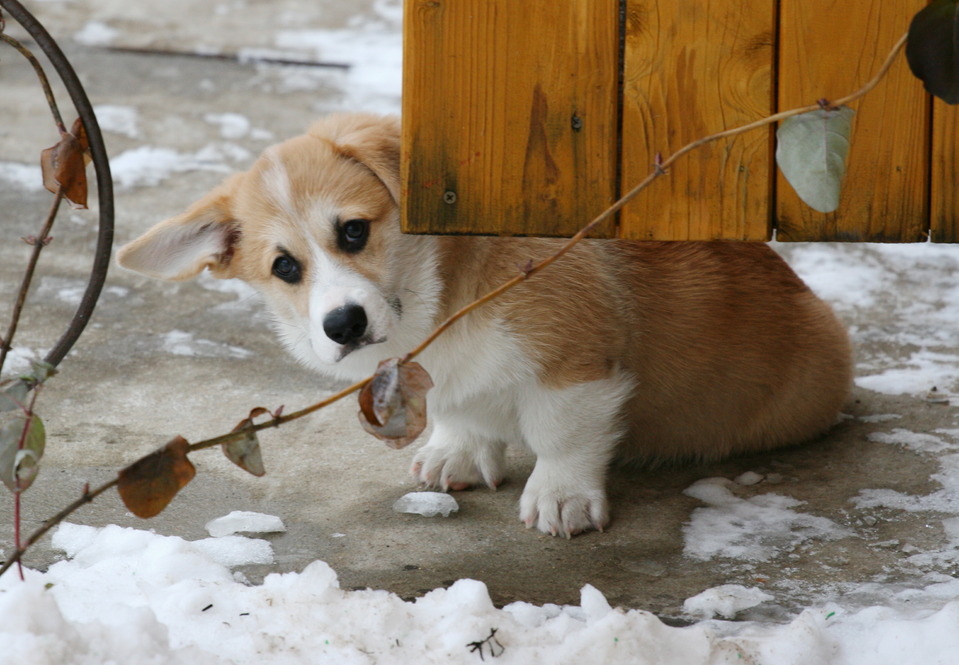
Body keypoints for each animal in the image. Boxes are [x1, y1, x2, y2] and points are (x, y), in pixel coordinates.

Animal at [116, 111, 852, 536]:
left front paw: (560, 499)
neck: (440, 299)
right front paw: (458, 452)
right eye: (285, 267)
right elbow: (463, 412)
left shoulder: (574, 364)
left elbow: (562, 436)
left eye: (353, 231)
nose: (343, 324)